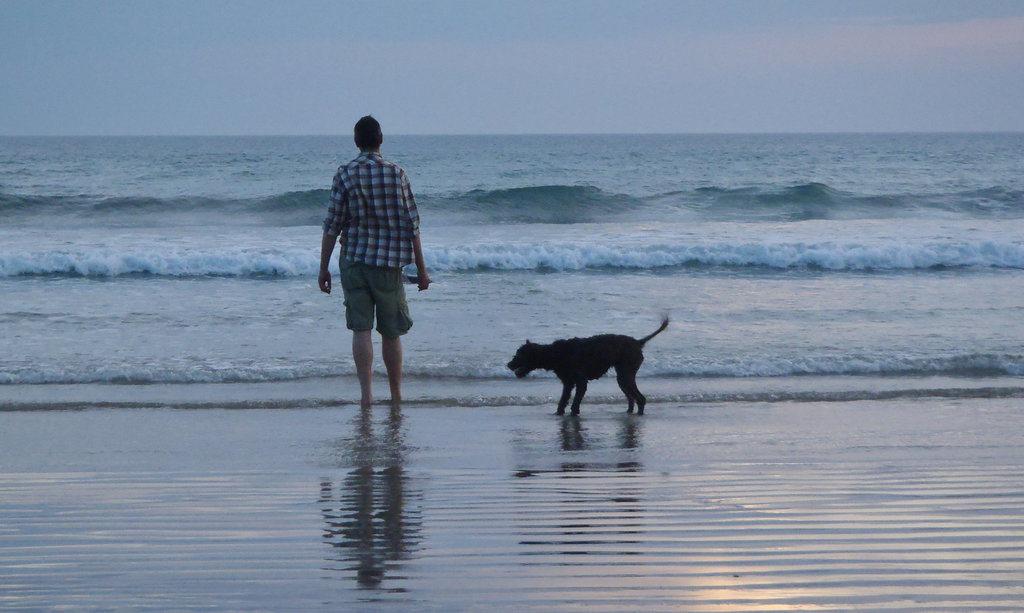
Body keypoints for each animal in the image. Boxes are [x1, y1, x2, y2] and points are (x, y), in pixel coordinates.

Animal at [505, 317, 667, 417]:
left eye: (519, 354)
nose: (508, 365)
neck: (554, 354)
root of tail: (638, 342)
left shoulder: (581, 382)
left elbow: (575, 401)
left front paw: (572, 414)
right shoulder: (568, 383)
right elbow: (563, 400)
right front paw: (559, 413)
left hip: (626, 375)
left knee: (640, 399)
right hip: (622, 378)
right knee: (632, 398)